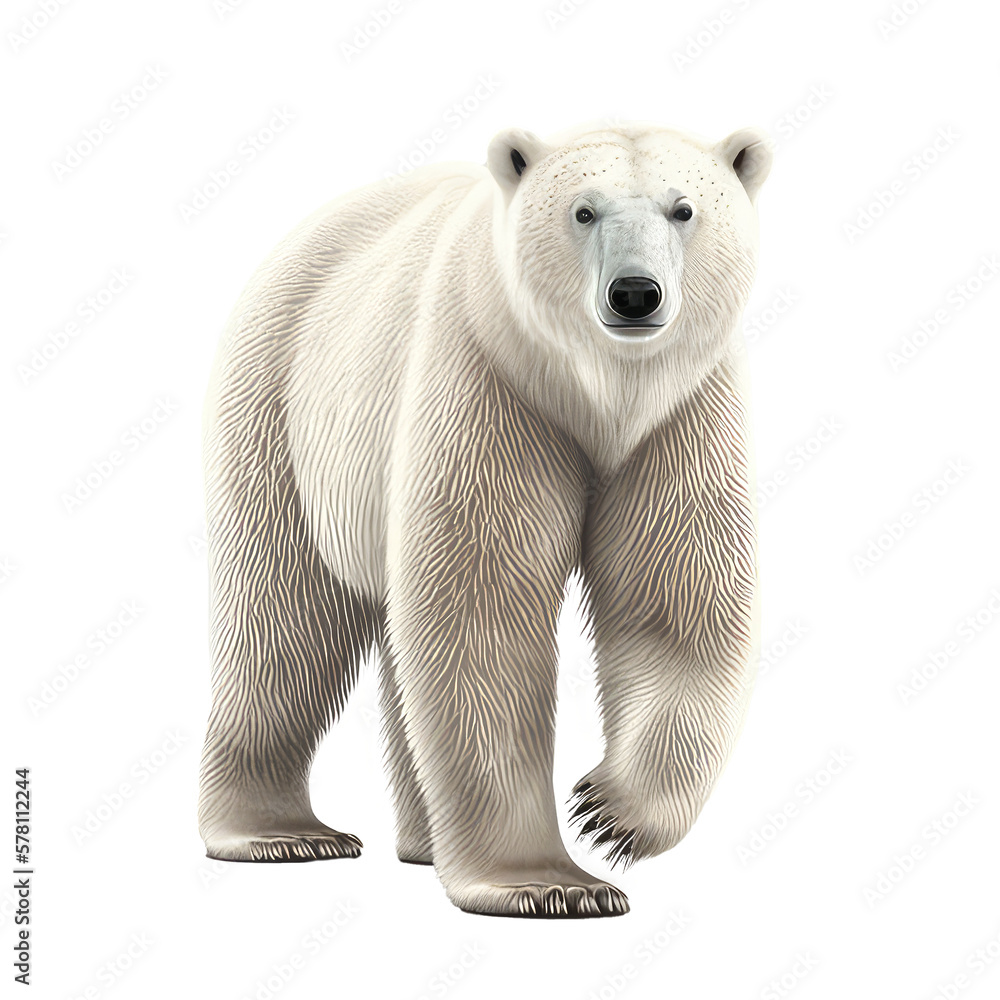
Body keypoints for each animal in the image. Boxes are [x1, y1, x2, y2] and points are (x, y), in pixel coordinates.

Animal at [197, 119, 772, 919]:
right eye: (583, 210)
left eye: (683, 209)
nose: (634, 293)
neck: (597, 392)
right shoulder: (486, 378)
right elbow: (481, 610)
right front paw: (548, 883)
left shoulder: (679, 414)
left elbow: (675, 596)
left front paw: (610, 815)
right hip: (284, 406)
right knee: (283, 614)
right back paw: (280, 834)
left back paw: (421, 841)